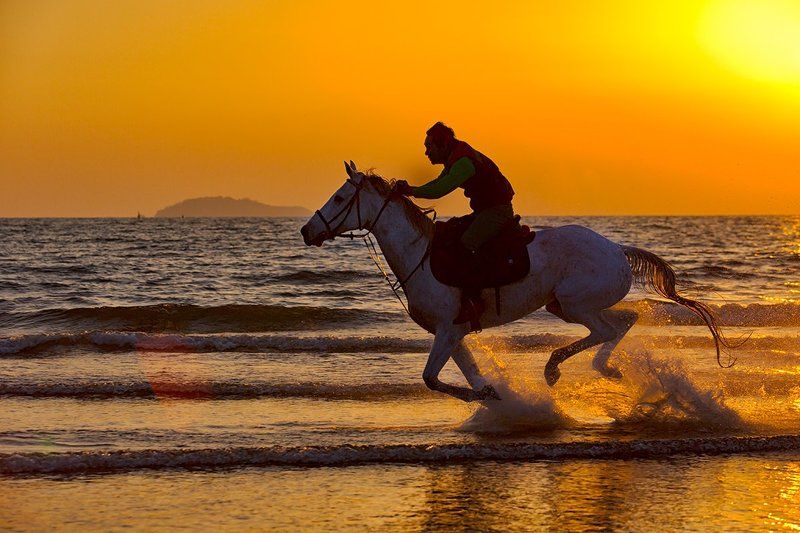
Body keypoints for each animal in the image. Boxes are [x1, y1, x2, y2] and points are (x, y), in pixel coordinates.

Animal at [300, 161, 733, 402]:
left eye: (339, 199)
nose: (307, 231)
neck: (420, 255)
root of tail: (616, 249)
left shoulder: (449, 329)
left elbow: (430, 378)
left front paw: (487, 396)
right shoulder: (451, 332)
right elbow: (457, 374)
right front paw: (490, 395)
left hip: (575, 303)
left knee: (605, 330)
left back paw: (556, 369)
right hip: (568, 304)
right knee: (625, 321)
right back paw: (605, 369)